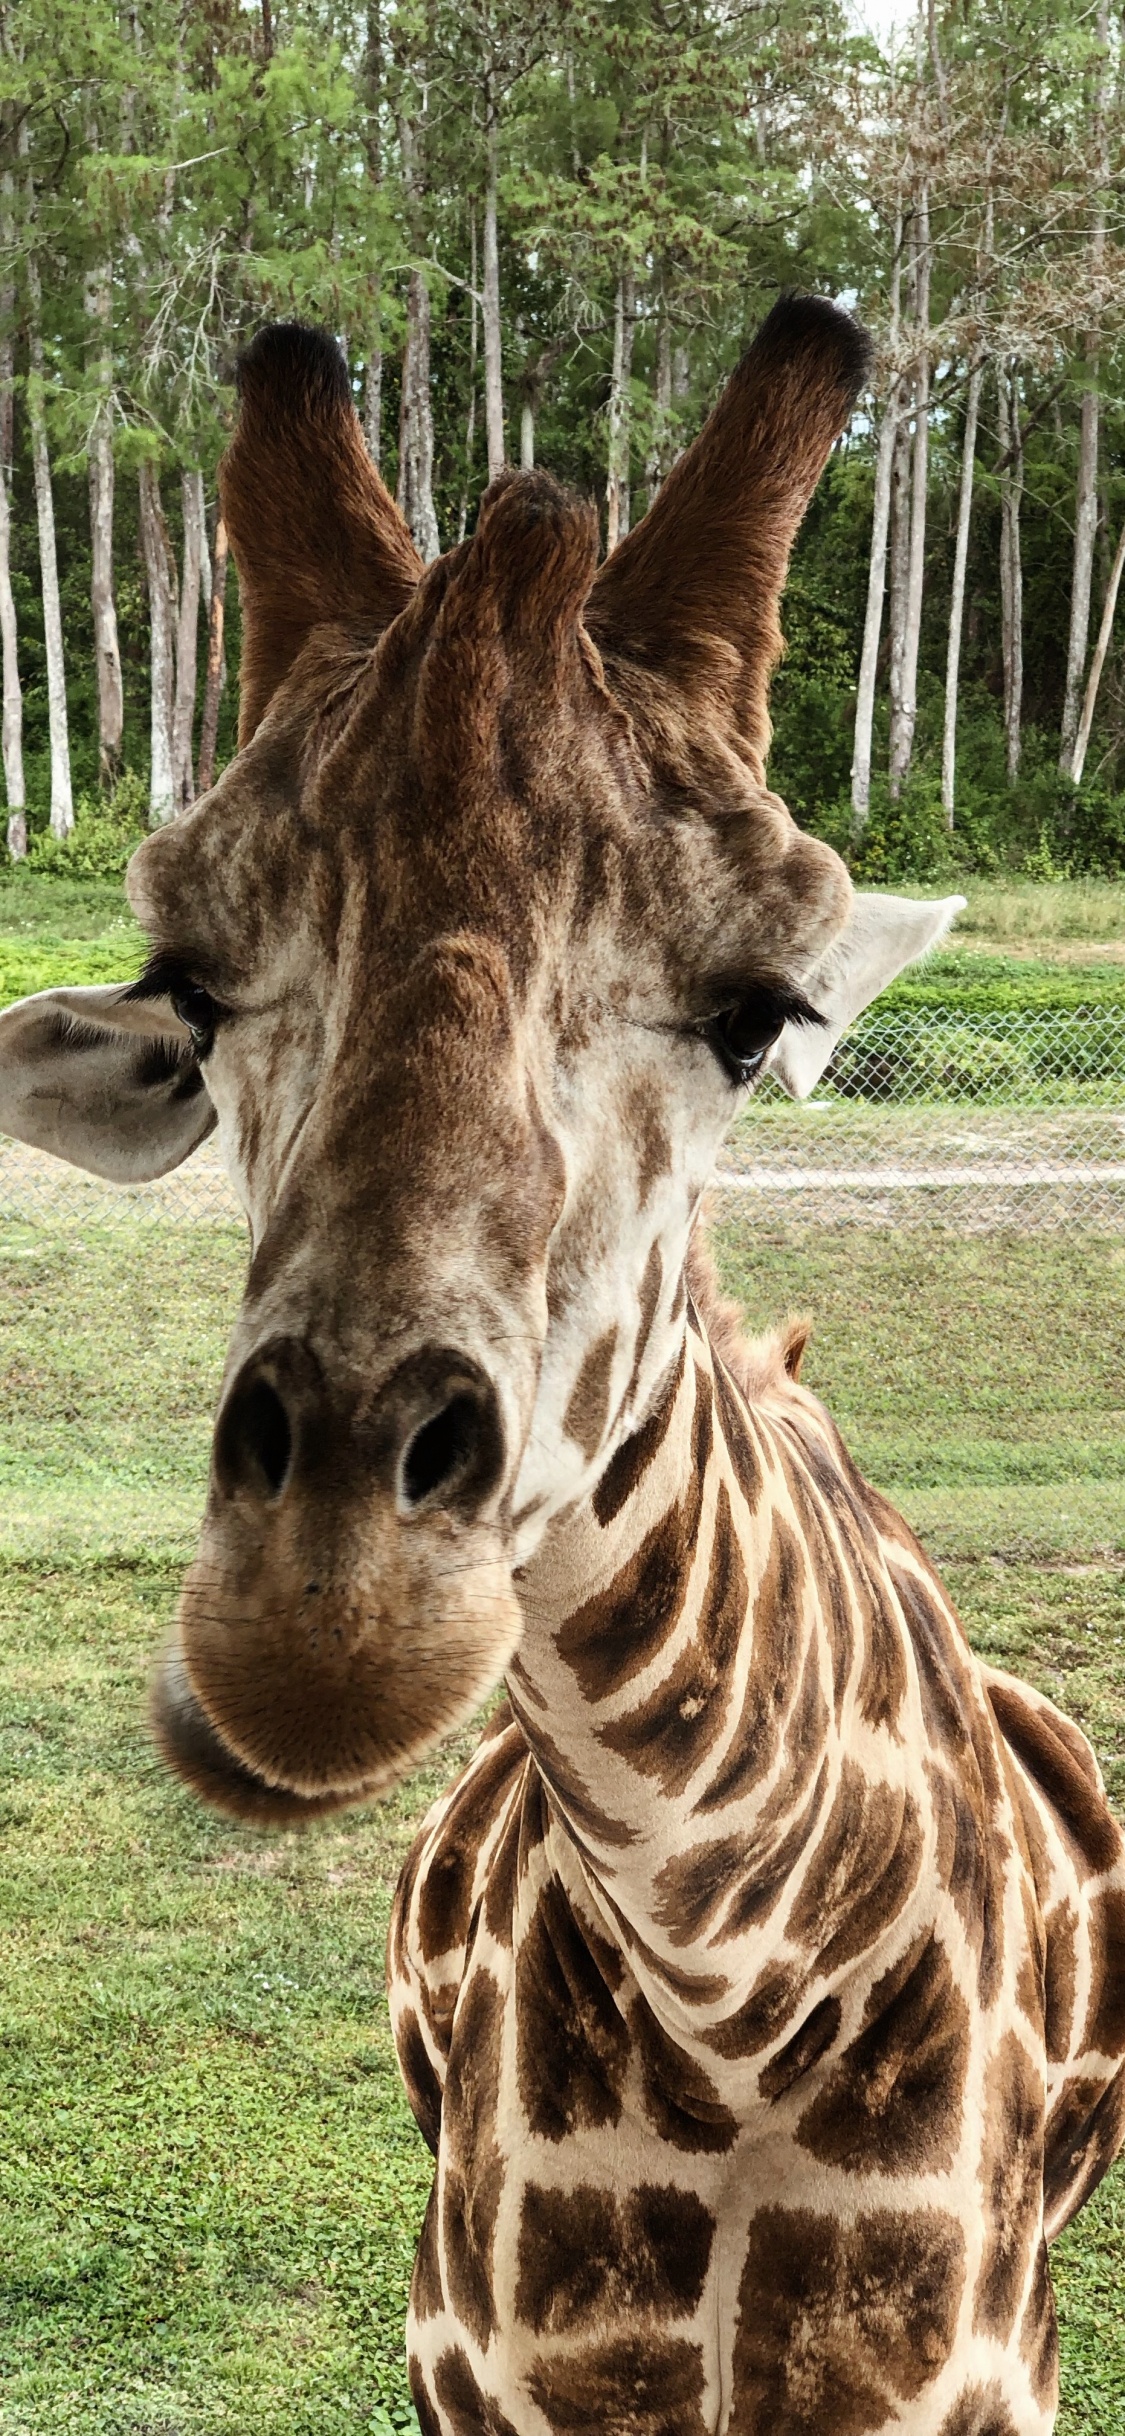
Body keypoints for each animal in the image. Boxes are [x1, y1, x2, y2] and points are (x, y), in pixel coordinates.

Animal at [0, 297, 1122, 2435]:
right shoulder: (472, 2363)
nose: (323, 1617)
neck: (736, 1997)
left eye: (759, 1015)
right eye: (194, 990)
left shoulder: (968, 2379)